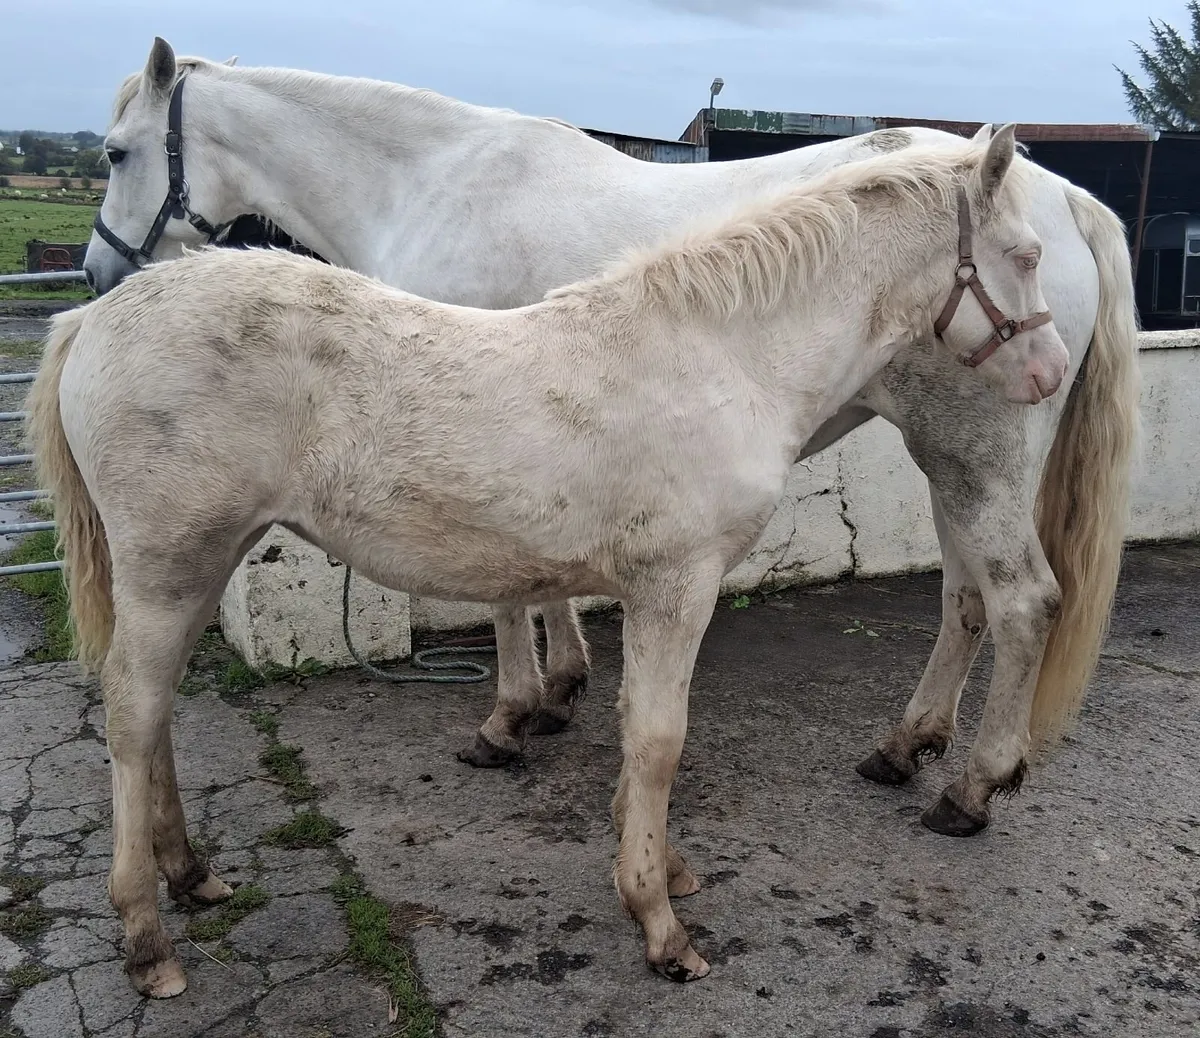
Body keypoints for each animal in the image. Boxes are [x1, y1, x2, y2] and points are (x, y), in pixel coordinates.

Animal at [33, 126, 1067, 997]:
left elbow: (634, 729)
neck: (723, 357)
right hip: (171, 560)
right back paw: (146, 938)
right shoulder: (676, 586)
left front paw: (663, 871)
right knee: (132, 710)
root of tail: (96, 319)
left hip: (203, 558)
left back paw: (192, 875)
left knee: (155, 707)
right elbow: (657, 739)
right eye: (1024, 256)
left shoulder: (653, 591)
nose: (1050, 372)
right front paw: (658, 922)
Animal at [83, 40, 1139, 837]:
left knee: (1022, 601)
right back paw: (905, 746)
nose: (97, 272)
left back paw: (972, 787)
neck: (431, 180)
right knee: (967, 598)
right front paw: (559, 689)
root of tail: (1065, 198)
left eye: (116, 153)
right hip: (952, 456)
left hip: (974, 454)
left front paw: (509, 715)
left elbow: (506, 596)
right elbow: (540, 576)